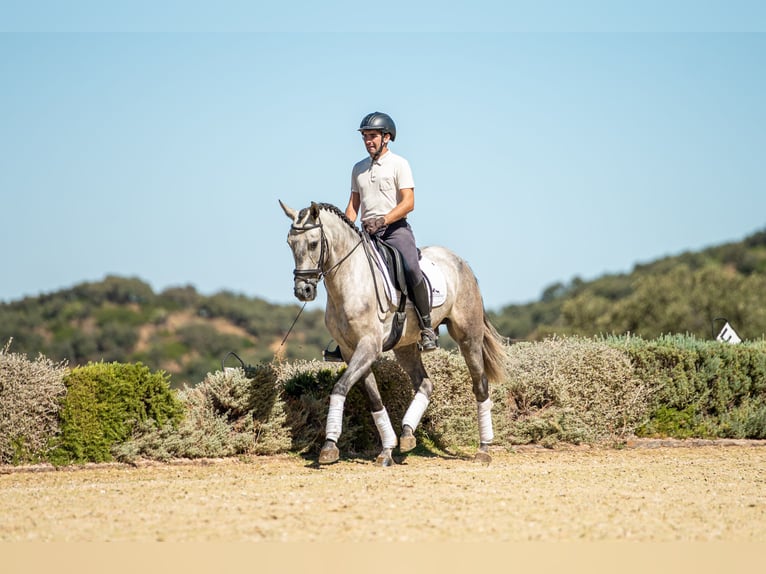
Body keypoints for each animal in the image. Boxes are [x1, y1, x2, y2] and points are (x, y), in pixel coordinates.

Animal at [280, 201, 508, 468]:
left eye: (314, 243)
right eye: (290, 243)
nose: (303, 290)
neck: (350, 280)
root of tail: (461, 262)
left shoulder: (369, 346)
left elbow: (339, 387)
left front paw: (329, 446)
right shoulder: (350, 351)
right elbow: (374, 399)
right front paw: (387, 449)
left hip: (467, 335)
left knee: (480, 384)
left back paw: (483, 449)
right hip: (405, 346)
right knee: (425, 383)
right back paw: (407, 434)